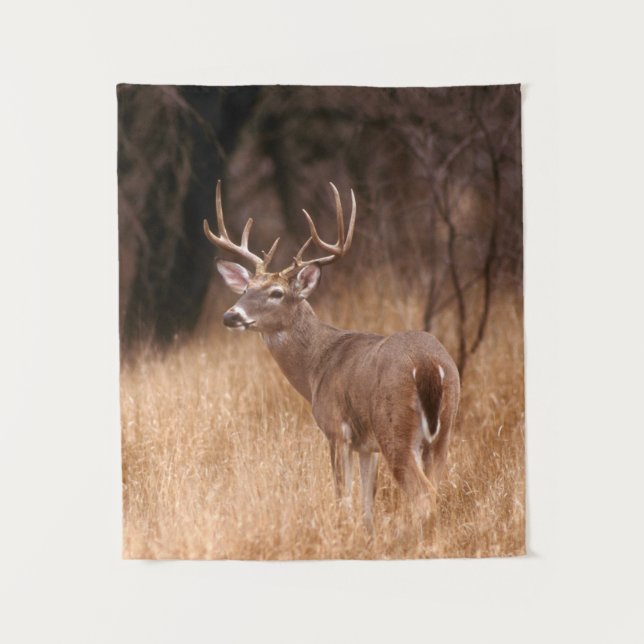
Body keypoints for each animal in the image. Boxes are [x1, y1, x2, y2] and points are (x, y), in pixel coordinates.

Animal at [204, 181, 460, 529]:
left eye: (276, 293)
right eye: (245, 289)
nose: (231, 315)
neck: (316, 367)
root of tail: (429, 365)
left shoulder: (336, 428)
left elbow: (343, 497)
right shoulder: (366, 445)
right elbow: (367, 501)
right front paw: (367, 533)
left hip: (394, 427)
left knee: (423, 495)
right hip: (444, 429)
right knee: (436, 489)